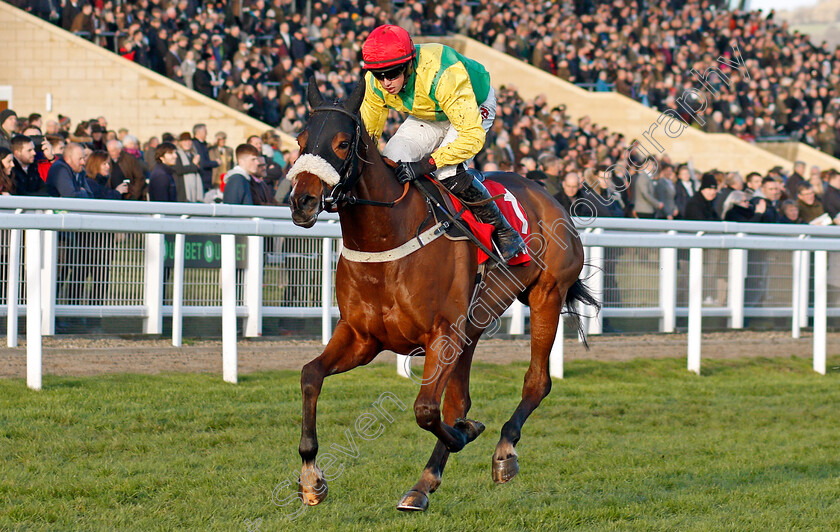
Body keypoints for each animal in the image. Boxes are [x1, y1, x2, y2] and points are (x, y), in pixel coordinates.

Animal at [288, 81, 596, 512]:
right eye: (300, 141)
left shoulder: (442, 334)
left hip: (546, 296)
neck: (387, 235)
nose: (301, 201)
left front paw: (468, 434)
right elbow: (310, 375)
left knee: (536, 382)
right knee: (458, 400)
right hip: (474, 323)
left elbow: (425, 410)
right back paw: (427, 480)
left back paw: (501, 451)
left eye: (342, 142)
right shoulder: (361, 337)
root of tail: (549, 195)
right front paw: (311, 477)